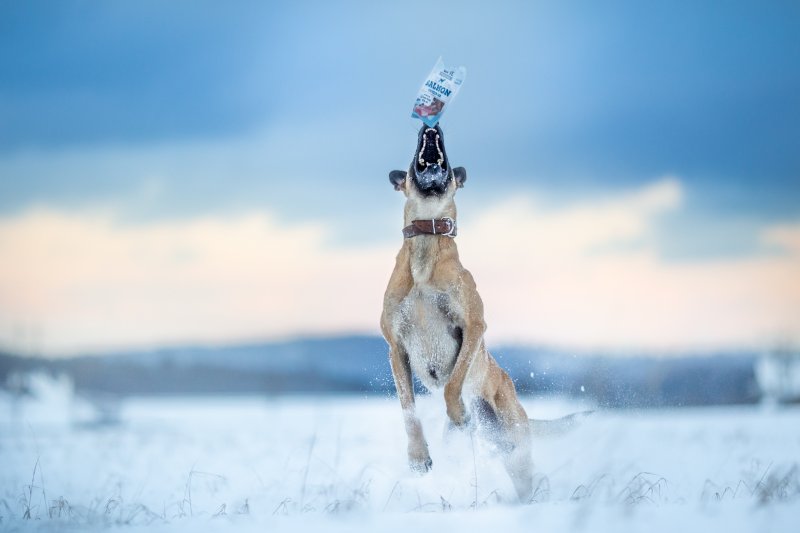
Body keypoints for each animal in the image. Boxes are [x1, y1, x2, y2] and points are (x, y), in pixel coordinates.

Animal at [382, 122, 536, 500]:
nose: (430, 126)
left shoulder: (473, 326)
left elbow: (453, 382)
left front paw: (458, 412)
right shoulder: (396, 347)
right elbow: (408, 409)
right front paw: (418, 457)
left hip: (513, 433)